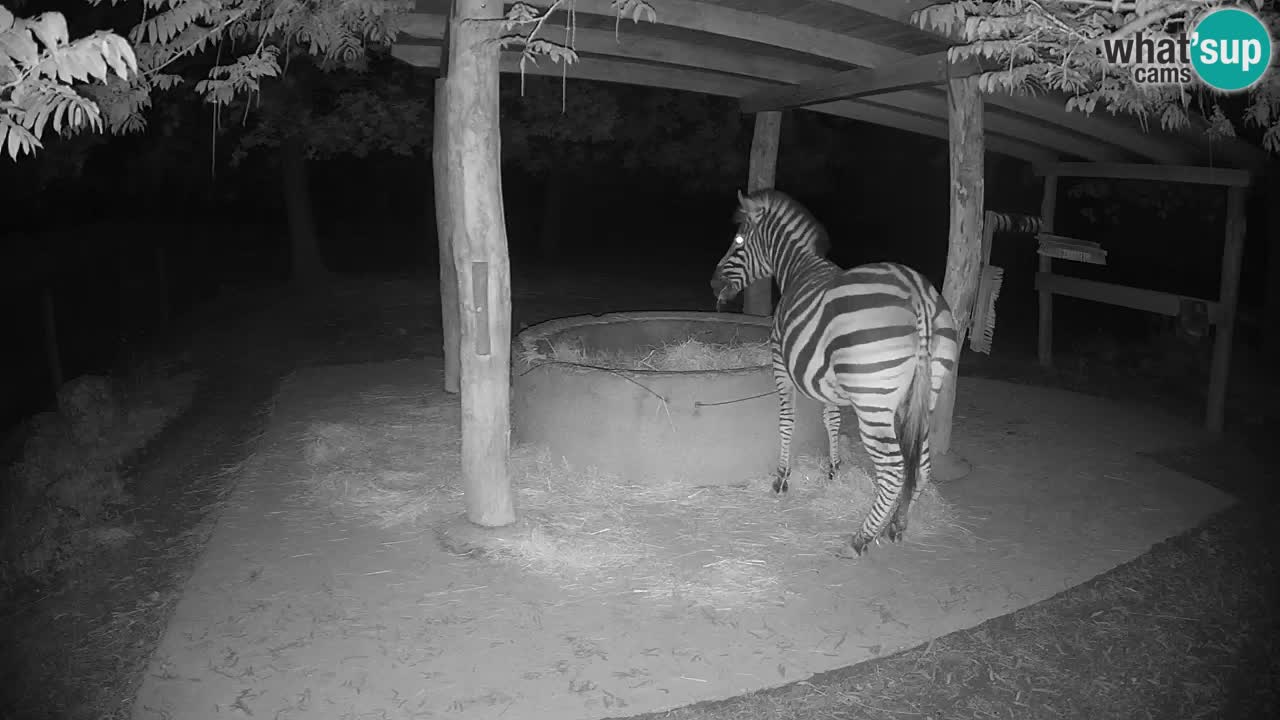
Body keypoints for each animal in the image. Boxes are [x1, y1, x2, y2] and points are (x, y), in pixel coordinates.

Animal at [710, 189, 959, 558]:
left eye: (738, 240)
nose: (713, 284)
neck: (798, 268)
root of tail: (917, 294)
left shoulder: (781, 364)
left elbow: (787, 421)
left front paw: (781, 479)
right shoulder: (825, 379)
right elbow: (832, 421)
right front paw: (833, 468)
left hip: (873, 402)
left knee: (894, 470)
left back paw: (860, 539)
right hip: (925, 395)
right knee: (922, 463)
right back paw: (897, 525)